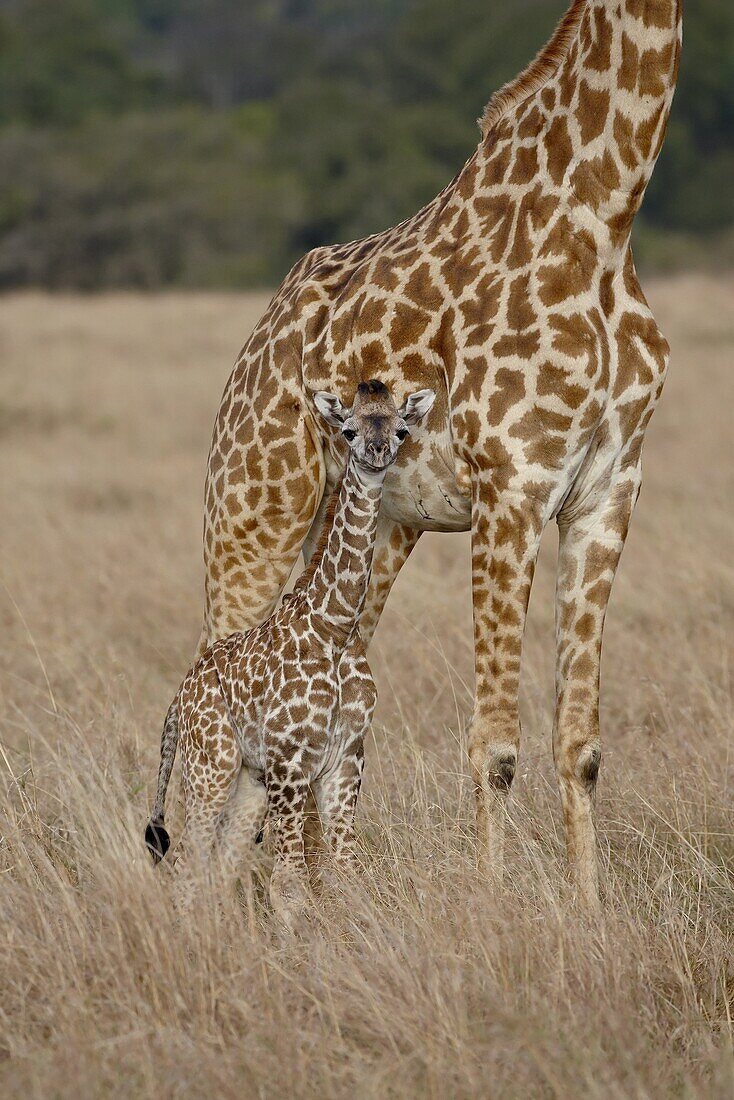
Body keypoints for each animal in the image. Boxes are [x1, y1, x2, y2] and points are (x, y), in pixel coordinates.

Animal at [145, 378, 435, 919]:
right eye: (348, 429)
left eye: (401, 429)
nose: (376, 453)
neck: (335, 627)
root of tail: (178, 701)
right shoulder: (289, 761)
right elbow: (290, 886)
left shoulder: (345, 760)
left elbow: (344, 874)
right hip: (210, 765)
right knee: (187, 863)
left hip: (247, 777)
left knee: (218, 862)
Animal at [199, 2, 682, 910]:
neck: (604, 216)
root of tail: (262, 331)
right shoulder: (512, 487)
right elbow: (495, 745)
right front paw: (493, 909)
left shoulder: (608, 492)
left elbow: (582, 744)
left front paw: (590, 913)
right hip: (251, 508)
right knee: (214, 681)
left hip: (377, 533)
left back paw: (311, 897)